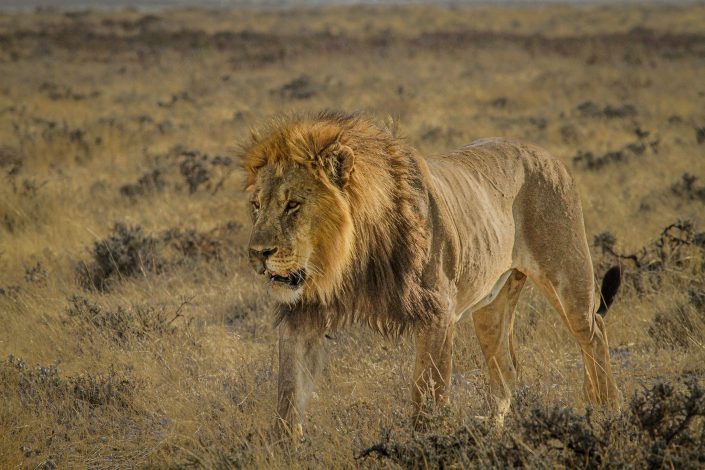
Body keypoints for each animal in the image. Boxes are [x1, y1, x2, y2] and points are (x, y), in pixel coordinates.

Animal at [241, 111, 621, 437]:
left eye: (293, 205)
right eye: (256, 205)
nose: (257, 254)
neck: (349, 262)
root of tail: (548, 154)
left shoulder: (437, 313)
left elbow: (426, 394)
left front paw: (428, 446)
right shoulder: (302, 315)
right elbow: (288, 395)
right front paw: (284, 449)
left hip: (567, 275)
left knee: (595, 334)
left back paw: (608, 412)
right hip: (491, 307)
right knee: (507, 369)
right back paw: (492, 430)